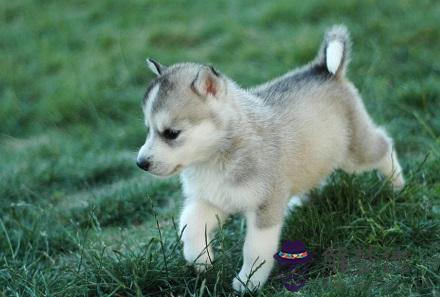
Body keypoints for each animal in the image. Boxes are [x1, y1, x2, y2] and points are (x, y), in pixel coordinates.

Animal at [136, 24, 404, 290]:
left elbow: (254, 248)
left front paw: (248, 282)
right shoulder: (212, 199)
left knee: (383, 144)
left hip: (354, 154)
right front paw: (201, 260)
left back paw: (396, 184)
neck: (216, 157)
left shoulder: (264, 207)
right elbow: (189, 225)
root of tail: (323, 70)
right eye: (147, 129)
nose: (141, 163)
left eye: (171, 133)